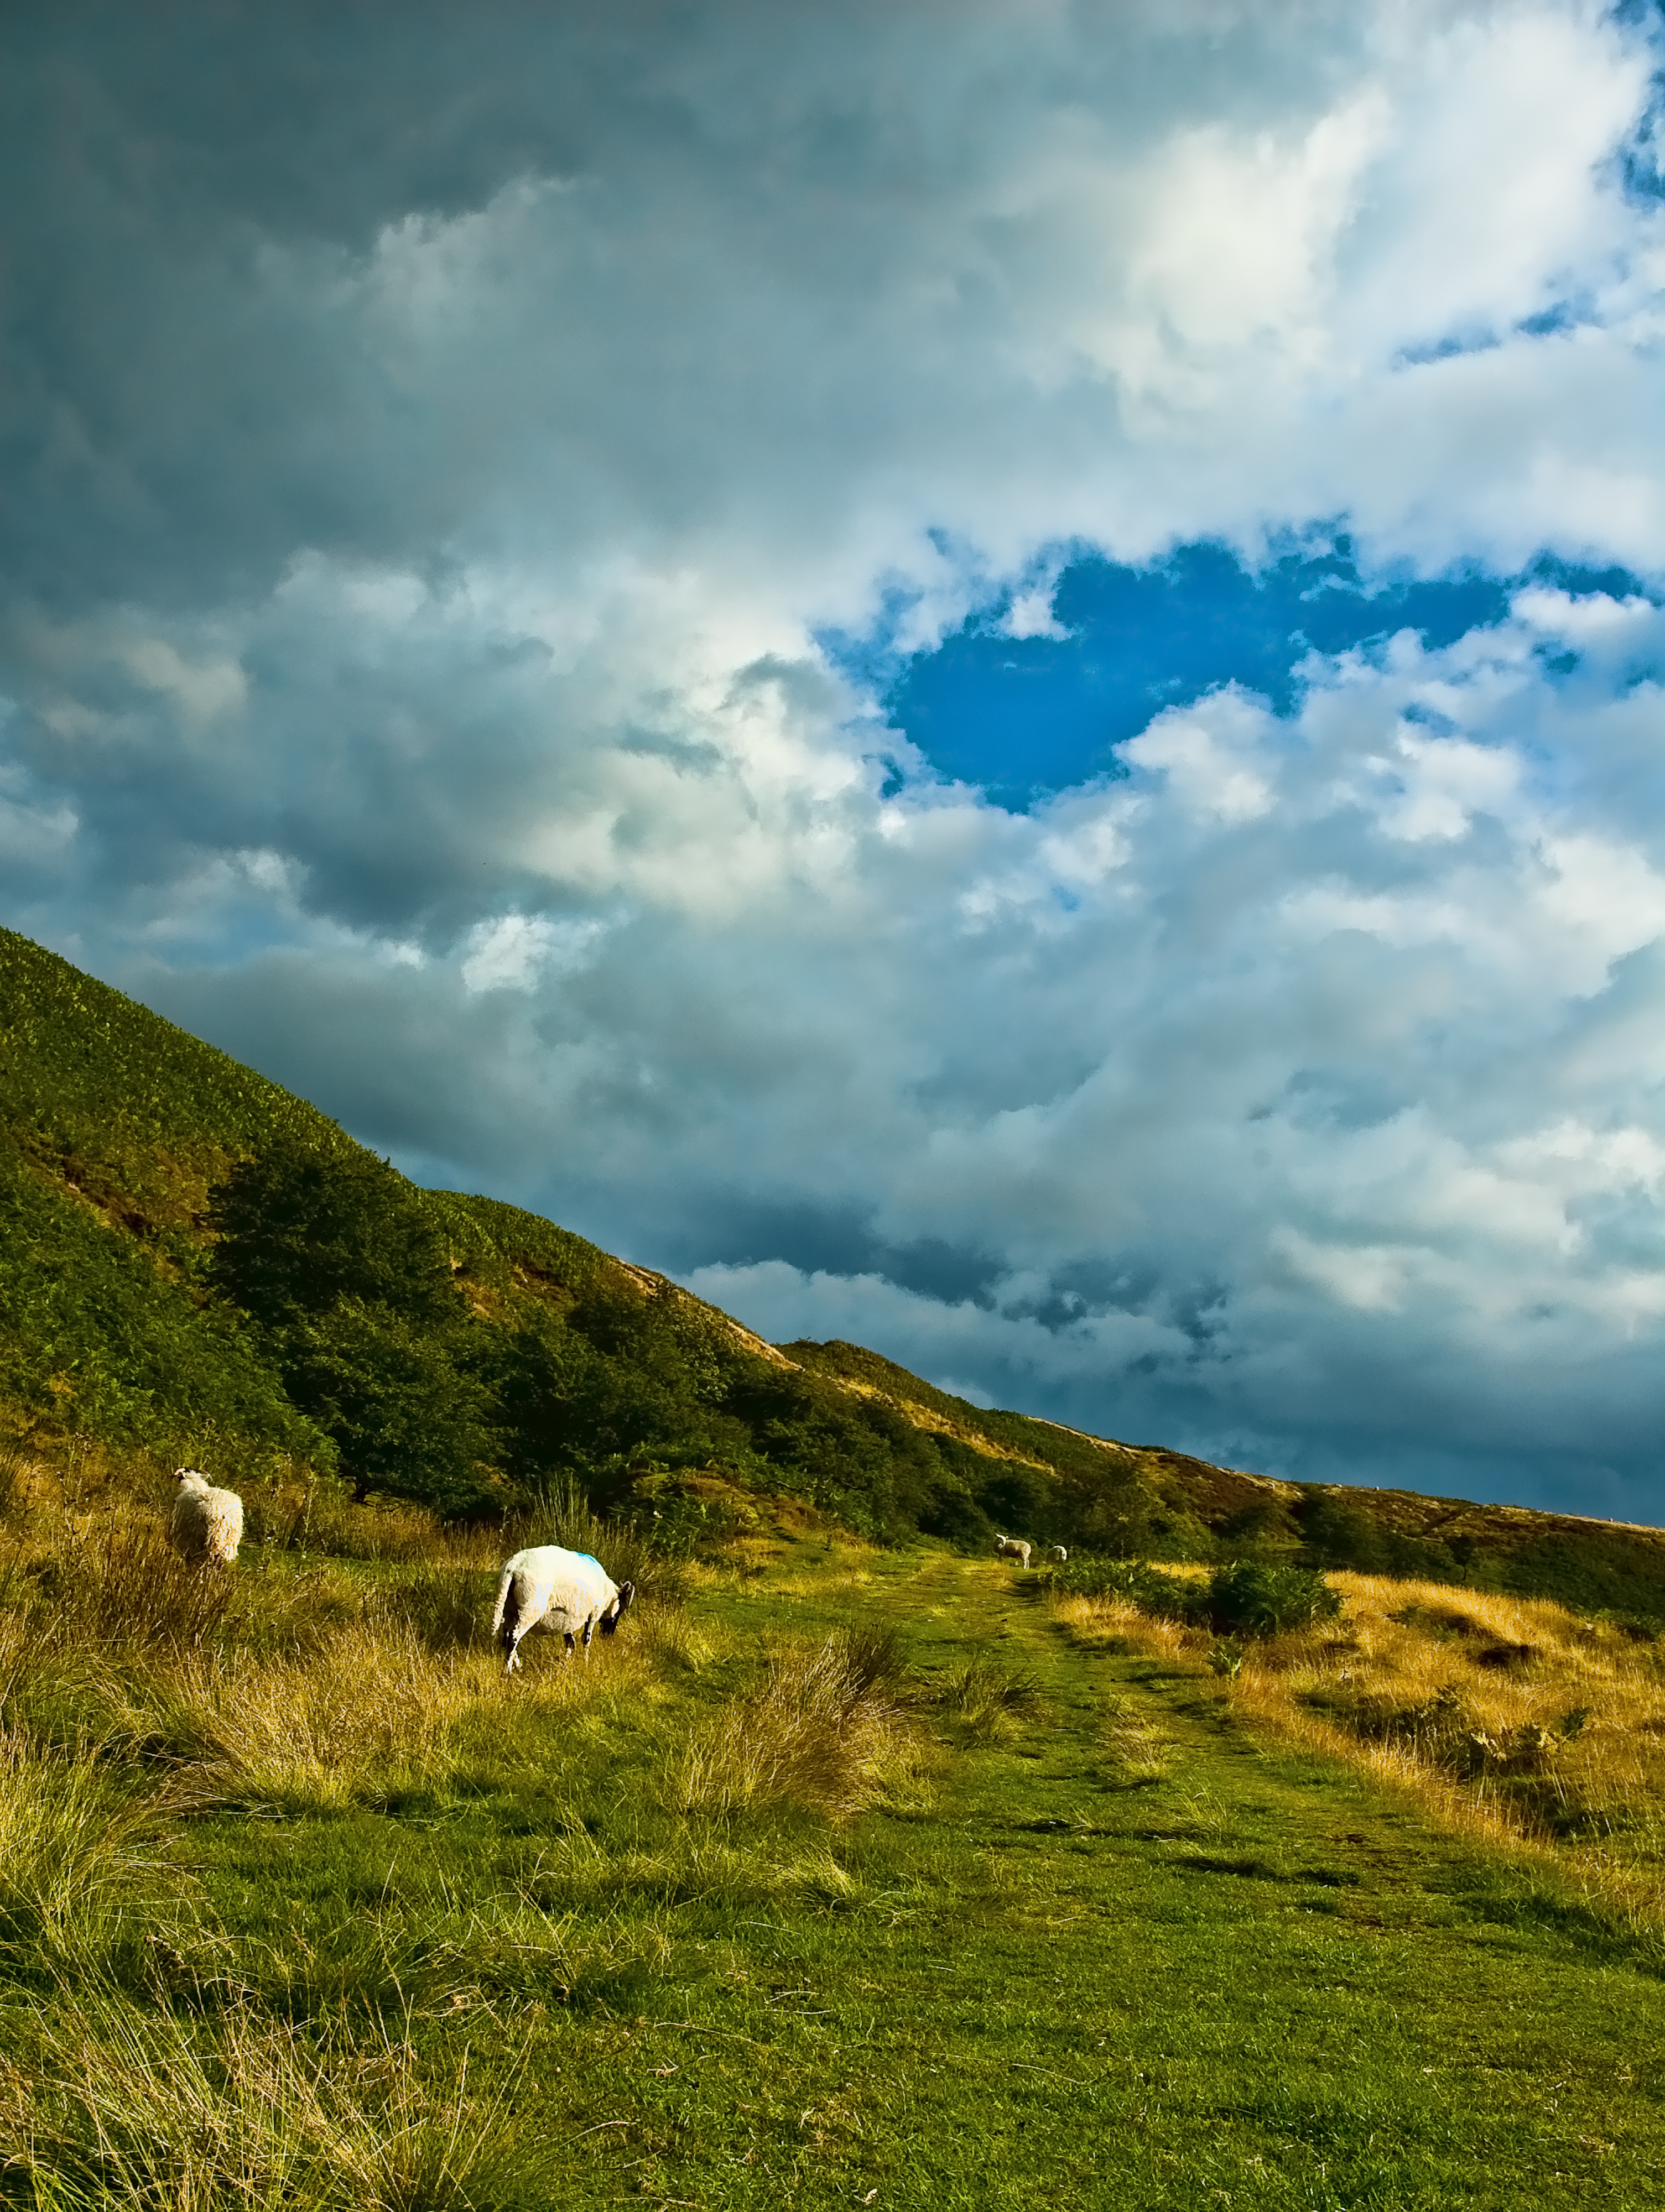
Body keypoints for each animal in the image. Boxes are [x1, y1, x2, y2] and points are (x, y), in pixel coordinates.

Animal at [491, 1540, 633, 1672]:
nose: (608, 1636)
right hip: (529, 1609)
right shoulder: (593, 1615)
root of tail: (513, 1567)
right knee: (513, 1638)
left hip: (509, 1608)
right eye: (620, 1610)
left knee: (506, 1637)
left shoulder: (567, 1618)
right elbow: (586, 1641)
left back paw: (516, 1667)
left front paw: (566, 1665)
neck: (608, 1594)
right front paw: (585, 1663)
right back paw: (508, 1672)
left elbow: (571, 1642)